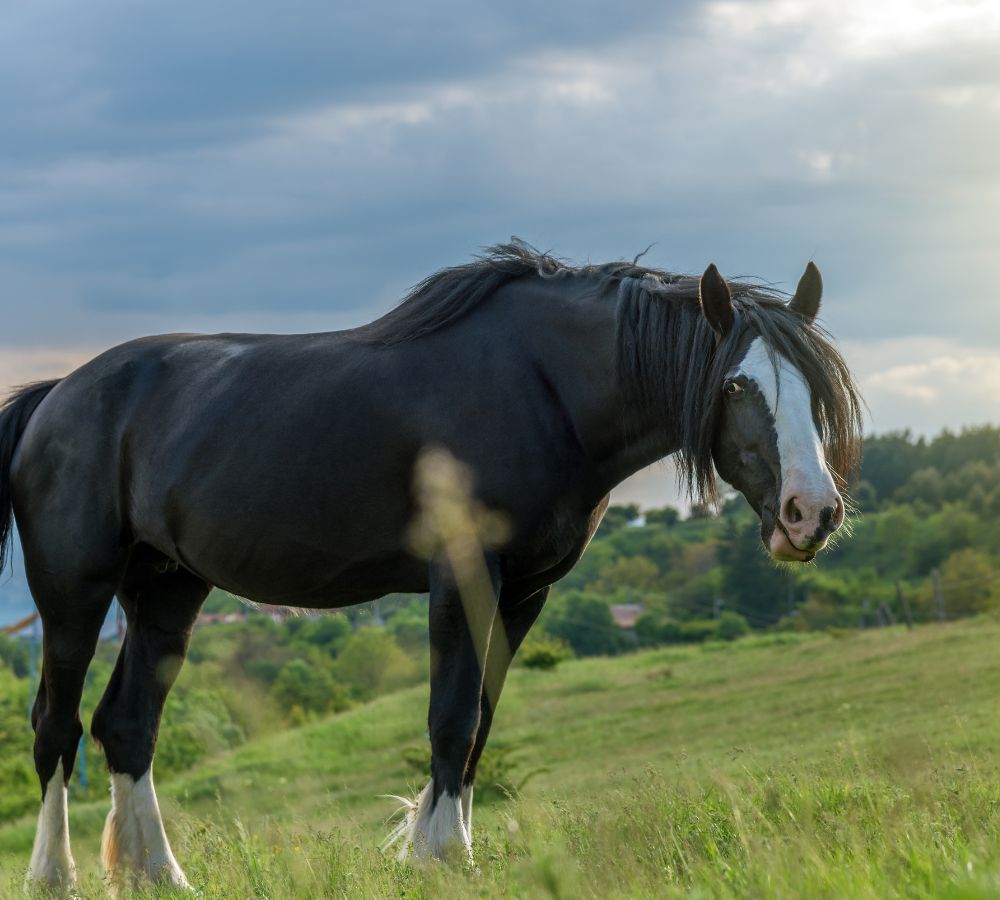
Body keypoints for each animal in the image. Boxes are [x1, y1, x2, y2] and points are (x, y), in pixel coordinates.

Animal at [0, 241, 862, 888]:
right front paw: (441, 855)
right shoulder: (461, 576)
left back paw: (160, 875)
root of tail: (56, 395)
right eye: (738, 386)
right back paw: (55, 875)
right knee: (56, 726)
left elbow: (480, 722)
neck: (543, 389)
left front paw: (447, 847)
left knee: (128, 724)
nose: (810, 514)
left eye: (814, 389)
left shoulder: (524, 595)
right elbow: (450, 719)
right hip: (73, 594)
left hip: (168, 590)